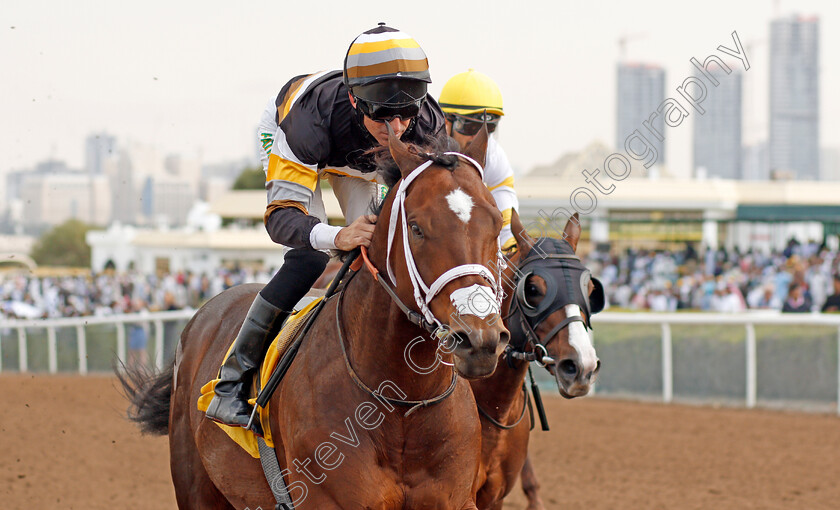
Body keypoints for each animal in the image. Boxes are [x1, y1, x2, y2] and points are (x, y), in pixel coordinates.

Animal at [120, 124, 512, 510]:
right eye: (416, 228)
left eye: (495, 225)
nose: (479, 339)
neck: (402, 404)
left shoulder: (458, 499)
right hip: (196, 487)